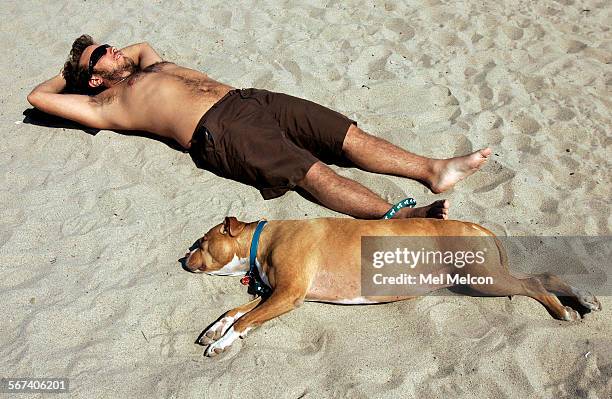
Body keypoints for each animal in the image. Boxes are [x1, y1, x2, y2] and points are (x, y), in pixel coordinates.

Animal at [184, 217, 600, 358]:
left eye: (201, 242)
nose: (183, 258)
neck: (262, 240)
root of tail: (475, 225)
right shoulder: (275, 294)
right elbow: (236, 312)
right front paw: (215, 330)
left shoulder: (287, 294)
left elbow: (243, 320)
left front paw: (223, 342)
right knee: (546, 276)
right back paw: (585, 299)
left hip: (485, 278)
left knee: (538, 282)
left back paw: (565, 308)